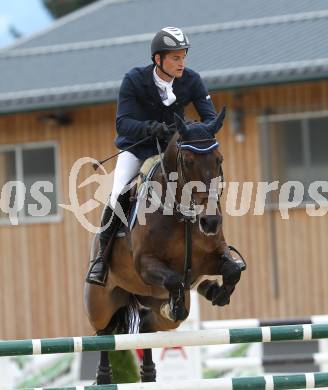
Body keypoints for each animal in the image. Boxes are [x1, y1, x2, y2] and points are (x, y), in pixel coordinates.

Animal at [84, 109, 246, 384]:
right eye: (188, 161)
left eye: (219, 160)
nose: (210, 221)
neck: (183, 215)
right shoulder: (145, 264)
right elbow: (174, 280)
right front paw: (176, 305)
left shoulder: (211, 257)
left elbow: (232, 269)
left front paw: (218, 292)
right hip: (100, 303)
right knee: (104, 333)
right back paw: (104, 376)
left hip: (151, 307)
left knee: (147, 327)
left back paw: (149, 371)